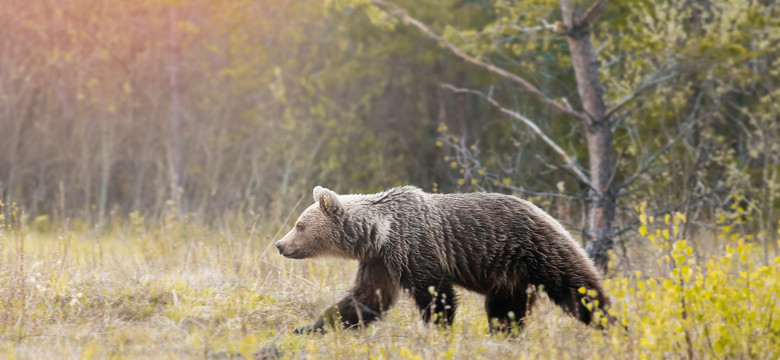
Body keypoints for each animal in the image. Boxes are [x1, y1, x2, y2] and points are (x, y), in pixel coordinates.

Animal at [274, 187, 608, 334]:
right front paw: (310, 327)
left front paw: (436, 330)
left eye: (299, 225)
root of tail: (546, 213)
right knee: (504, 309)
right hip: (511, 274)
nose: (280, 244)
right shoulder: (380, 261)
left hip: (538, 251)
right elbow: (365, 298)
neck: (380, 232)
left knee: (580, 290)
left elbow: (435, 295)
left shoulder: (415, 248)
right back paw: (504, 333)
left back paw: (611, 323)